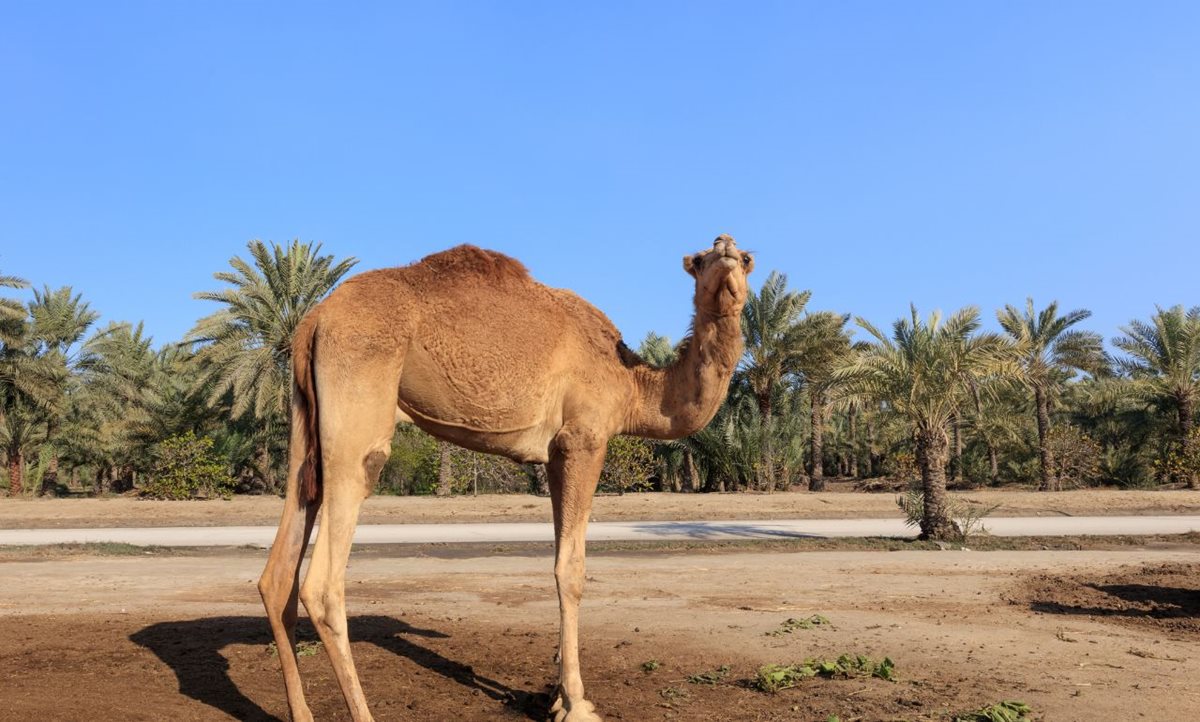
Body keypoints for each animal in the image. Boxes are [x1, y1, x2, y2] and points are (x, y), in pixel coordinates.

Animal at [259, 233, 753, 714]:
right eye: (701, 258)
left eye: (747, 258)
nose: (726, 245)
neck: (630, 385)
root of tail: (314, 319)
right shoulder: (584, 439)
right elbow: (571, 569)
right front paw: (575, 702)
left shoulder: (555, 455)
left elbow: (558, 557)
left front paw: (556, 694)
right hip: (359, 401)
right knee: (323, 583)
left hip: (306, 424)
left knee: (278, 572)